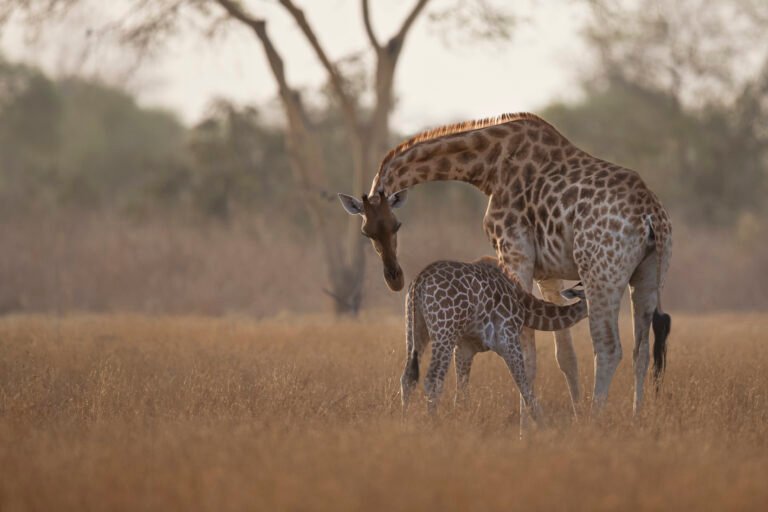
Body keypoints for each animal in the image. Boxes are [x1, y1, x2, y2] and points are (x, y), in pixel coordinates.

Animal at [400, 256, 588, 432]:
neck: (524, 306)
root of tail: (420, 281)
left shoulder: (465, 347)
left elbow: (461, 394)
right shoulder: (508, 337)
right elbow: (525, 388)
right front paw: (544, 429)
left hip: (415, 327)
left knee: (408, 378)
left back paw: (405, 420)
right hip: (444, 330)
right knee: (432, 380)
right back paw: (433, 424)